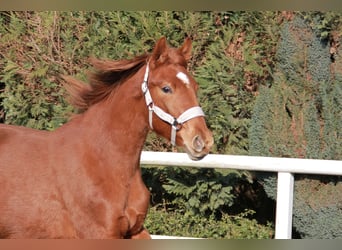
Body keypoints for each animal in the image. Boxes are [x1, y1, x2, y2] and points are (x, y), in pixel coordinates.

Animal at [0, 36, 212, 238]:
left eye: (195, 86)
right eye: (166, 88)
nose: (202, 140)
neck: (103, 162)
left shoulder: (134, 231)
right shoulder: (100, 234)